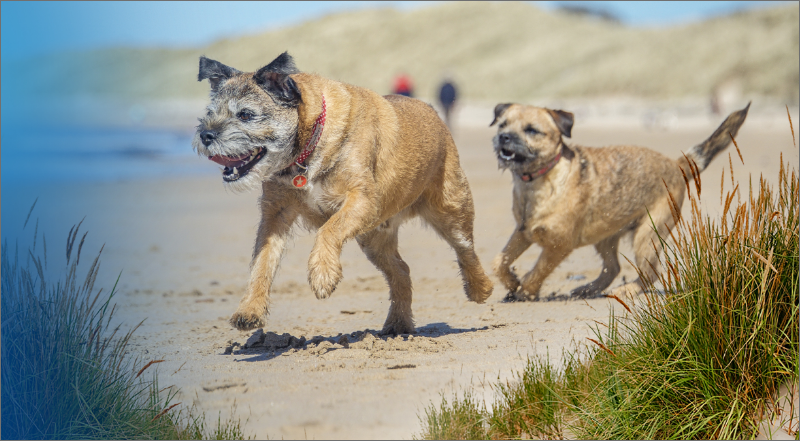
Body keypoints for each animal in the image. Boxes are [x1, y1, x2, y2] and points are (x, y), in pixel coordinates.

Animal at [194, 51, 494, 334]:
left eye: (245, 114)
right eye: (209, 114)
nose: (205, 135)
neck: (309, 141)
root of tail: (434, 114)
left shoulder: (362, 199)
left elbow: (330, 228)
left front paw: (322, 274)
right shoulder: (275, 215)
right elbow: (262, 261)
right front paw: (250, 309)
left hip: (451, 208)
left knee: (465, 249)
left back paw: (480, 288)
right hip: (374, 239)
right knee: (401, 270)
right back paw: (398, 322)